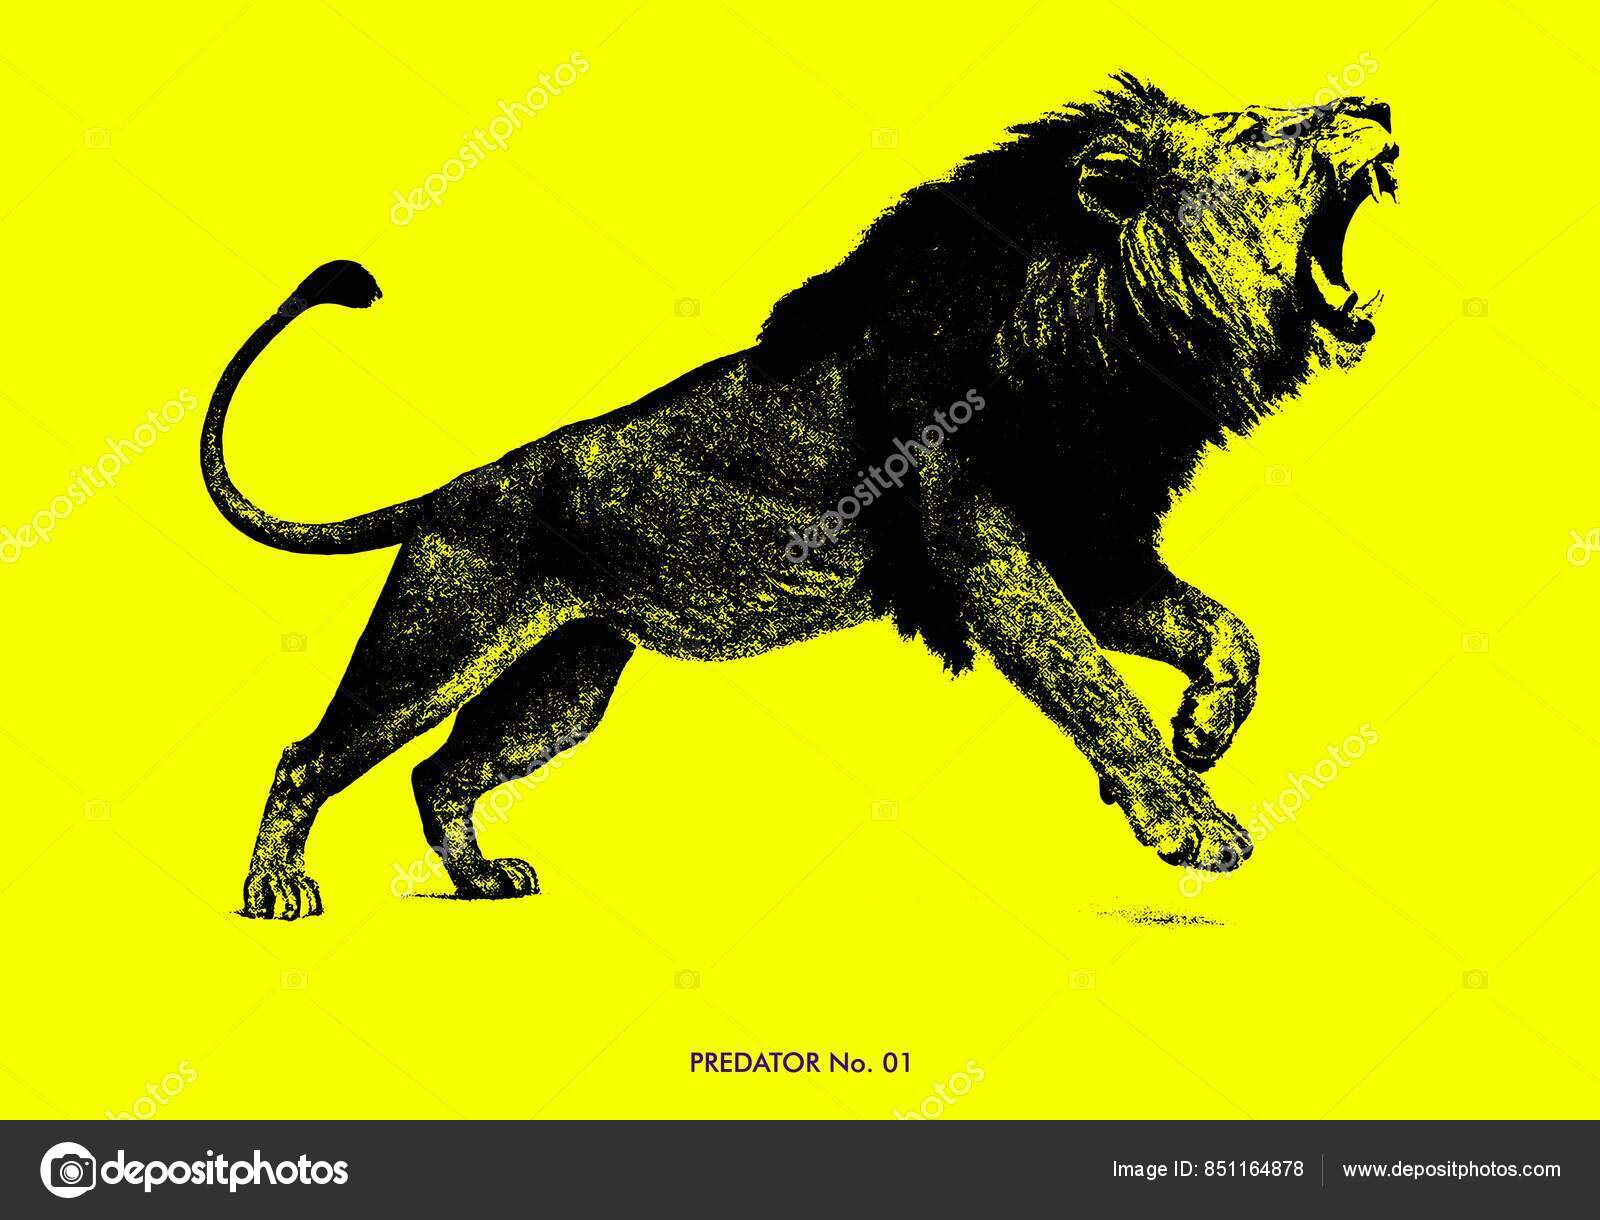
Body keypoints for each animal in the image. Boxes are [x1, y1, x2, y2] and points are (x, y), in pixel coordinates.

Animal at [203, 75, 1398, 918]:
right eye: (1260, 129)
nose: (1379, 106)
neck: (1120, 341)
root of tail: (451, 490)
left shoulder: (1092, 545)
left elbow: (1230, 632)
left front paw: (1204, 729)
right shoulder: (988, 557)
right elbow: (1092, 685)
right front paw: (1190, 820)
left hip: (563, 679)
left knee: (443, 770)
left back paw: (481, 878)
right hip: (437, 639)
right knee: (314, 752)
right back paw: (274, 893)